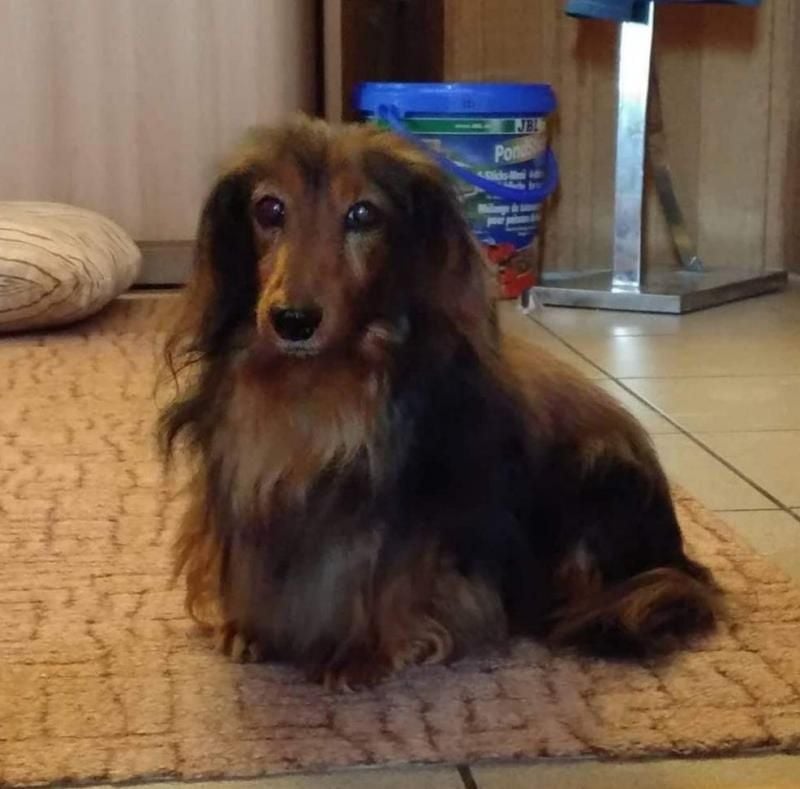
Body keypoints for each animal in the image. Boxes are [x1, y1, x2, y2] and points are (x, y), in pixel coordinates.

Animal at [159, 115, 720, 690]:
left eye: (363, 214)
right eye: (269, 209)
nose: (292, 321)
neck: (317, 388)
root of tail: (678, 557)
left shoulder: (421, 506)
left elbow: (390, 573)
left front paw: (362, 650)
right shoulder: (244, 480)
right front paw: (250, 626)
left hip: (599, 476)